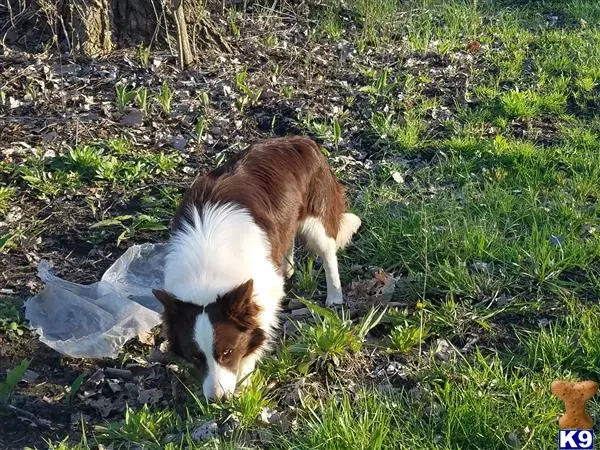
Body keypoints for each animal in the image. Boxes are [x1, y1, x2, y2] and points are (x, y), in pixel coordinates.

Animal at [155, 135, 360, 400]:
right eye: (196, 357)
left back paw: (334, 296)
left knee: (328, 254)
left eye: (227, 353)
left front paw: (244, 379)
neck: (206, 274)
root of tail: (299, 139)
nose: (218, 400)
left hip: (316, 221)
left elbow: (257, 333)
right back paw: (288, 268)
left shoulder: (263, 290)